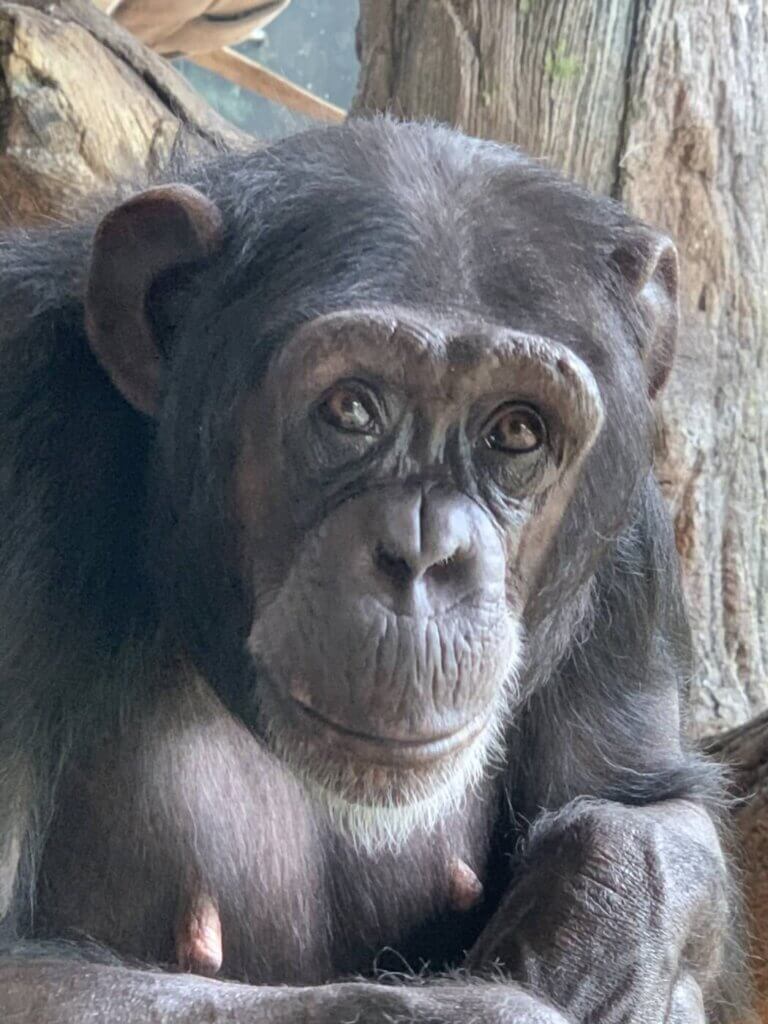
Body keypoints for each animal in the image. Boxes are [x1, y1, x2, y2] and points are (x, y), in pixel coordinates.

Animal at [0, 119, 741, 1024]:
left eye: (516, 431)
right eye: (351, 409)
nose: (424, 555)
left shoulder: (630, 532)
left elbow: (652, 801)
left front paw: (610, 918)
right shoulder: (21, 418)